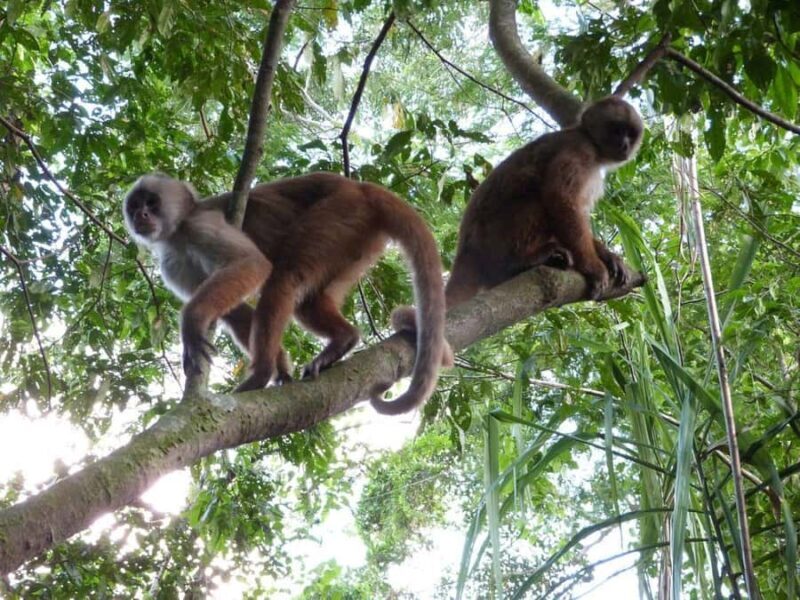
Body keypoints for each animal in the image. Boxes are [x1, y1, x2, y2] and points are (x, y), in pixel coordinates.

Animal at [126, 172, 448, 415]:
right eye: (135, 205)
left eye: (152, 202)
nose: (142, 214)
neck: (177, 233)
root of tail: (359, 187)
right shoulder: (172, 263)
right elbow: (237, 312)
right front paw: (281, 368)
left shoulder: (200, 225)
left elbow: (253, 265)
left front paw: (192, 321)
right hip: (355, 239)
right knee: (306, 302)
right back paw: (342, 340)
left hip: (340, 211)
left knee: (283, 277)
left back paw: (260, 372)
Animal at [443, 96, 643, 308]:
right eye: (617, 130)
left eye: (630, 134)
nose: (625, 145)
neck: (591, 143)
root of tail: (465, 251)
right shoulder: (579, 149)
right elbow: (560, 200)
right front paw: (593, 267)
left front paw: (607, 256)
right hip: (491, 241)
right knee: (539, 200)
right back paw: (521, 261)